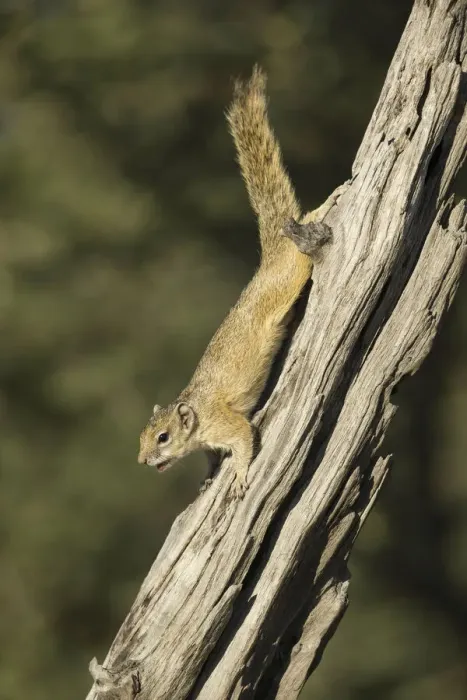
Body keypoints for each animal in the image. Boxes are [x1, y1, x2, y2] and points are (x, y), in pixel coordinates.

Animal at [138, 66, 338, 499]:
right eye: (142, 436)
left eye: (163, 437)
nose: (143, 461)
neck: (197, 416)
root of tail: (271, 255)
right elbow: (214, 459)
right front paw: (207, 477)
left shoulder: (226, 422)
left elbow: (245, 441)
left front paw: (242, 476)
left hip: (291, 276)